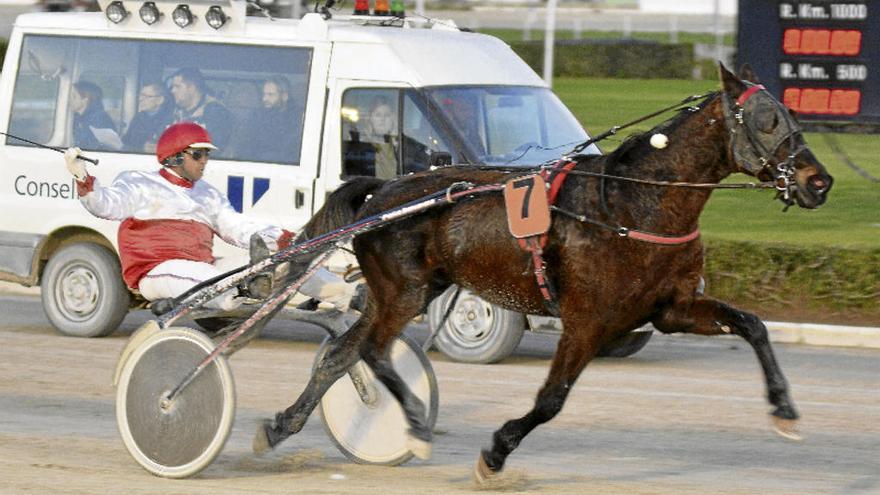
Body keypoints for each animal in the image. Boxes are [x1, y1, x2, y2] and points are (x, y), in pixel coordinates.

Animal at [253, 64, 832, 482]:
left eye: (789, 113)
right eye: (766, 119)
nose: (818, 181)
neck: (633, 206)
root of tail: (381, 191)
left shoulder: (672, 309)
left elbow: (753, 325)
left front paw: (784, 410)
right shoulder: (586, 321)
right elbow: (551, 399)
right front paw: (494, 454)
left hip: (401, 291)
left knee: (340, 354)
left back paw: (280, 426)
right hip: (404, 293)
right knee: (372, 350)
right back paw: (415, 424)